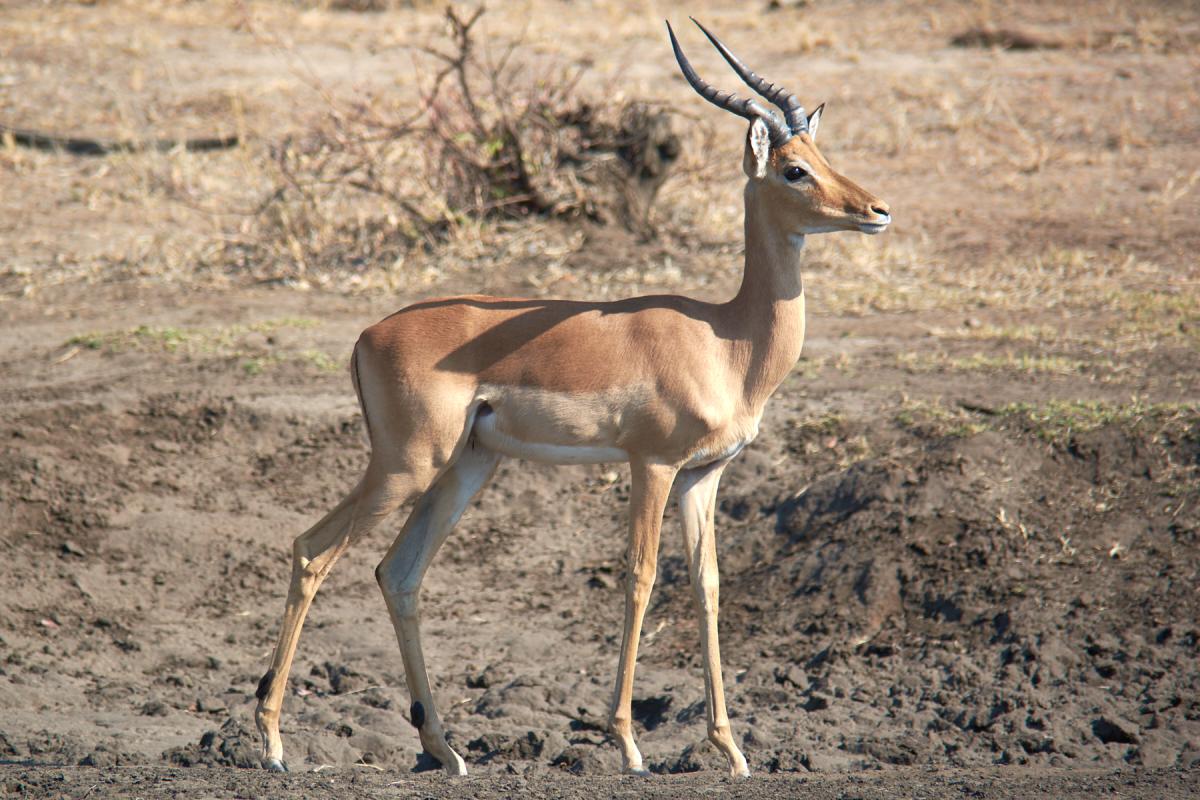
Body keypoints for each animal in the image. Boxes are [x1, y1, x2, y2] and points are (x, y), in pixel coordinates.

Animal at [253, 19, 890, 778]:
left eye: (822, 154)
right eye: (794, 169)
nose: (877, 210)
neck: (728, 341)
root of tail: (365, 335)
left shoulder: (703, 476)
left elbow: (706, 586)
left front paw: (730, 750)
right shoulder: (651, 464)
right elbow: (641, 577)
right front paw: (628, 743)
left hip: (467, 466)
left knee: (399, 573)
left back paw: (446, 751)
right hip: (406, 466)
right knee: (312, 552)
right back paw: (273, 743)